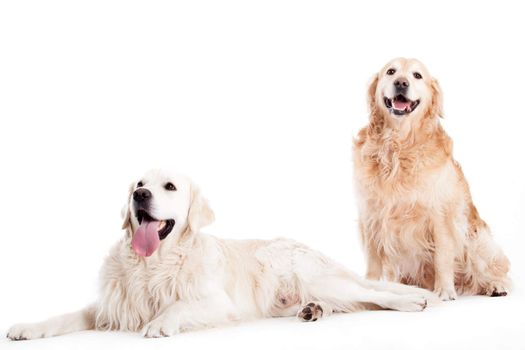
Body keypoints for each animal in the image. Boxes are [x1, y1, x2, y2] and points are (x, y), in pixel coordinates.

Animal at [352, 58, 508, 300]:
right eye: (391, 71)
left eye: (417, 75)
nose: (401, 83)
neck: (398, 146)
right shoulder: (371, 215)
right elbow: (373, 258)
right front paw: (370, 285)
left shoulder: (441, 215)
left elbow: (442, 256)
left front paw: (444, 290)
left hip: (477, 239)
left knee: (494, 268)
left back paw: (495, 285)